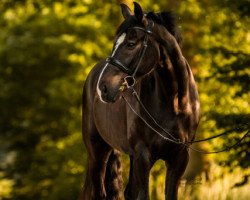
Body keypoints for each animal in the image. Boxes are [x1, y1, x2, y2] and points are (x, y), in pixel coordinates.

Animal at [81, 1, 200, 200]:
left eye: (130, 44)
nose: (102, 87)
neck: (174, 102)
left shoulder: (178, 158)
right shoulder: (143, 155)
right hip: (97, 152)